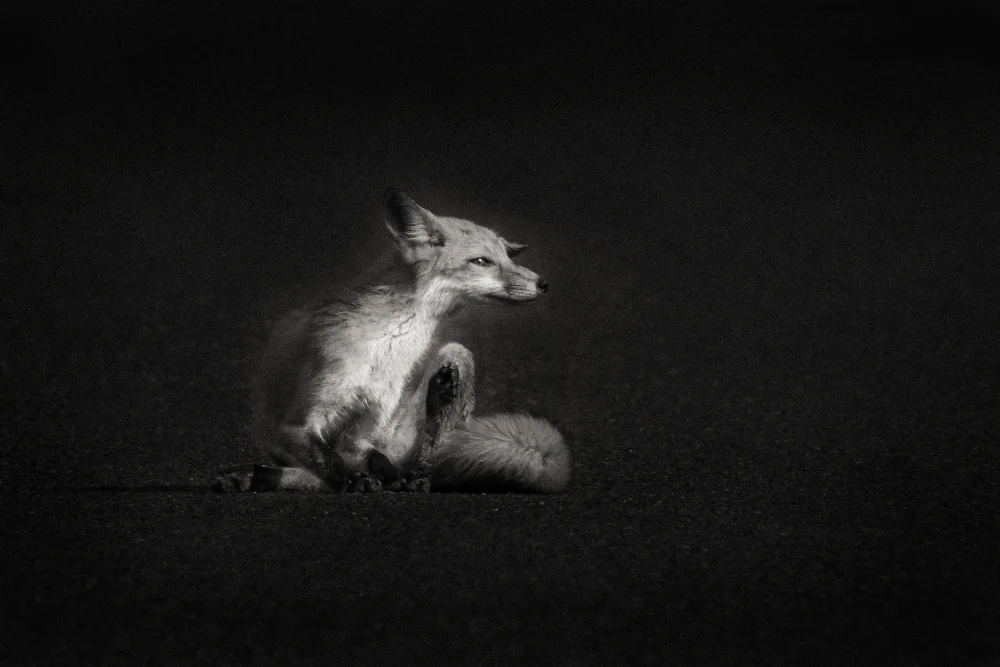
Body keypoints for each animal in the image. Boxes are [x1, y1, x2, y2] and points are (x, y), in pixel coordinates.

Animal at [214, 188, 571, 494]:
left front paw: (392, 477)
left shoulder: (370, 427)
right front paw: (354, 480)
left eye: (509, 259)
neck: (386, 348)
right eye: (481, 261)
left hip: (455, 356)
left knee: (428, 457)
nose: (543, 283)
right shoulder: (299, 423)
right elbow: (329, 460)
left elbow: (379, 460)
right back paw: (251, 476)